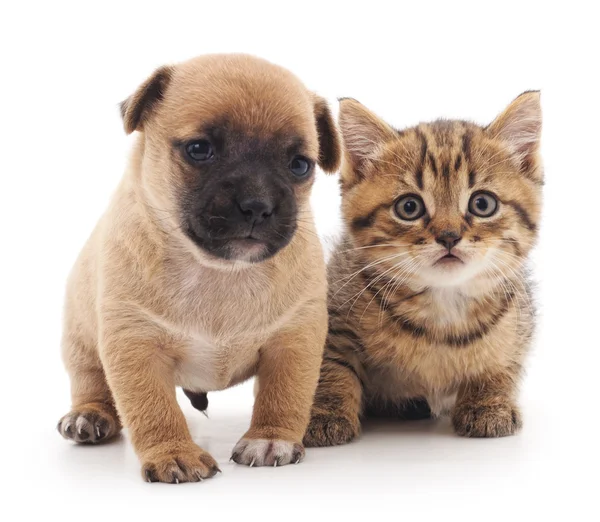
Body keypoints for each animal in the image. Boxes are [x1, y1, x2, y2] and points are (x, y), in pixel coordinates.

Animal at [58, 52, 340, 480]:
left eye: (299, 165)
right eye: (198, 149)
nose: (257, 205)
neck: (217, 272)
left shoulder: (293, 340)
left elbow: (284, 394)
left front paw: (270, 437)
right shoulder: (134, 344)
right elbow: (153, 408)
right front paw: (174, 453)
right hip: (81, 341)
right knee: (90, 381)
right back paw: (89, 415)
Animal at [302, 90, 540, 442]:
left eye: (482, 204)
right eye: (409, 207)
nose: (449, 236)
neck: (443, 303)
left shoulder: (518, 320)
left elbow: (501, 360)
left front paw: (488, 404)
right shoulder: (335, 310)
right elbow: (331, 365)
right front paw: (325, 413)